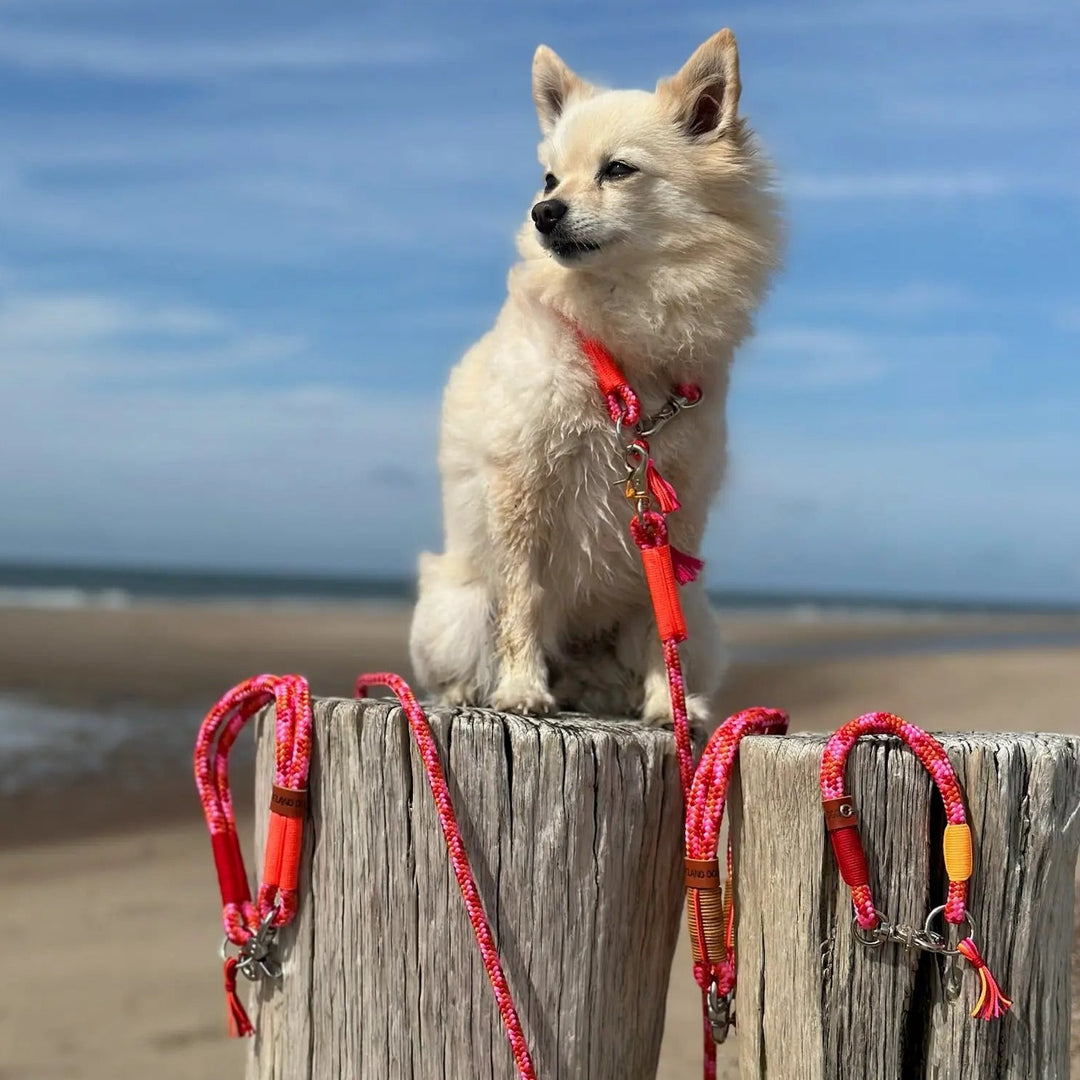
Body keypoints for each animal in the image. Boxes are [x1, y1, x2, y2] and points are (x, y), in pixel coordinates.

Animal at [408, 31, 781, 725]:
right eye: (549, 177)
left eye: (618, 170)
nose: (543, 212)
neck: (623, 350)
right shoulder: (520, 485)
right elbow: (523, 599)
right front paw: (521, 689)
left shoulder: (671, 519)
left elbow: (664, 627)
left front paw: (670, 705)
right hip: (456, 608)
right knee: (466, 650)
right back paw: (473, 690)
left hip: (701, 626)